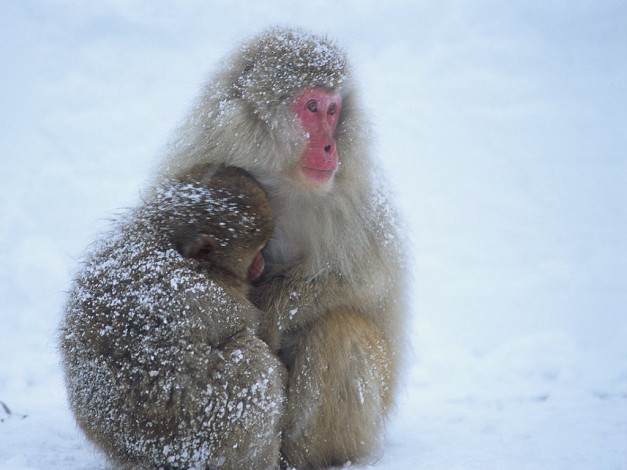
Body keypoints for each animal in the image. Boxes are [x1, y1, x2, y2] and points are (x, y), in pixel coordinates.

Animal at [60, 166, 286, 470]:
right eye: (258, 250)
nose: (261, 264)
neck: (172, 245)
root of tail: (142, 458)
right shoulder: (214, 298)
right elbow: (253, 333)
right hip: (203, 436)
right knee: (253, 360)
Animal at [153, 28, 408, 466]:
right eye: (312, 107)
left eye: (333, 110)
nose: (330, 148)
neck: (282, 180)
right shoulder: (198, 161)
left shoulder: (355, 202)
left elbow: (364, 281)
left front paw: (273, 309)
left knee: (337, 330)